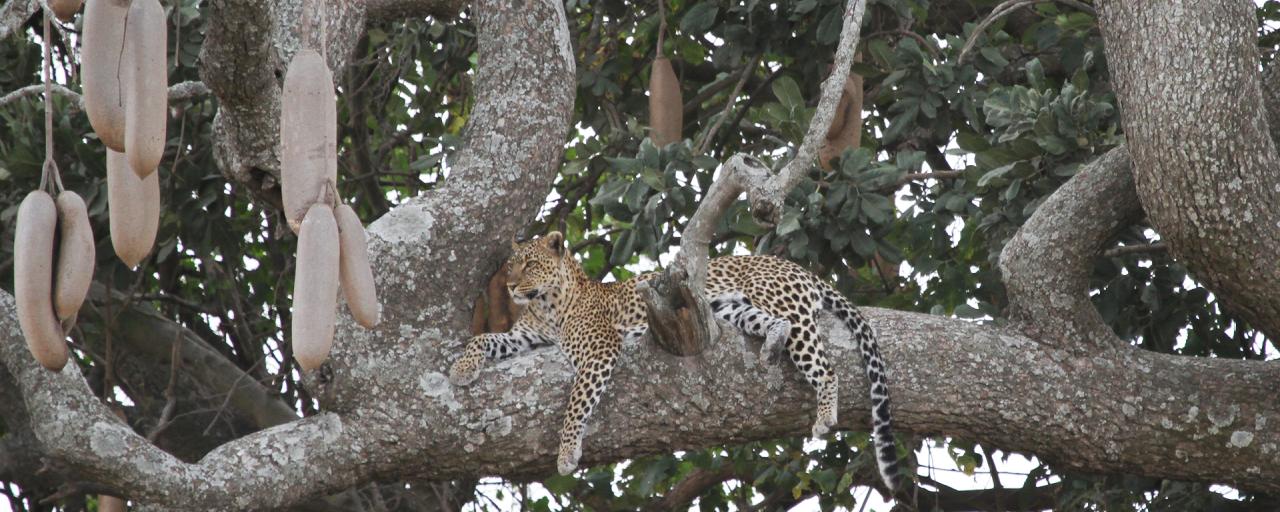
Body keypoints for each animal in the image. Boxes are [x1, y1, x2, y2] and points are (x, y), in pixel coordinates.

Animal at [445, 232, 906, 491]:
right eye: (510, 265)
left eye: (530, 264)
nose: (510, 286)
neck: (547, 304)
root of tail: (796, 267)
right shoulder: (522, 336)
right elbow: (483, 338)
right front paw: (461, 370)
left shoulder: (599, 349)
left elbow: (576, 404)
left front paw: (566, 453)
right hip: (734, 312)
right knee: (776, 327)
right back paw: (772, 344)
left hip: (783, 305)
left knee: (824, 366)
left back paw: (825, 415)